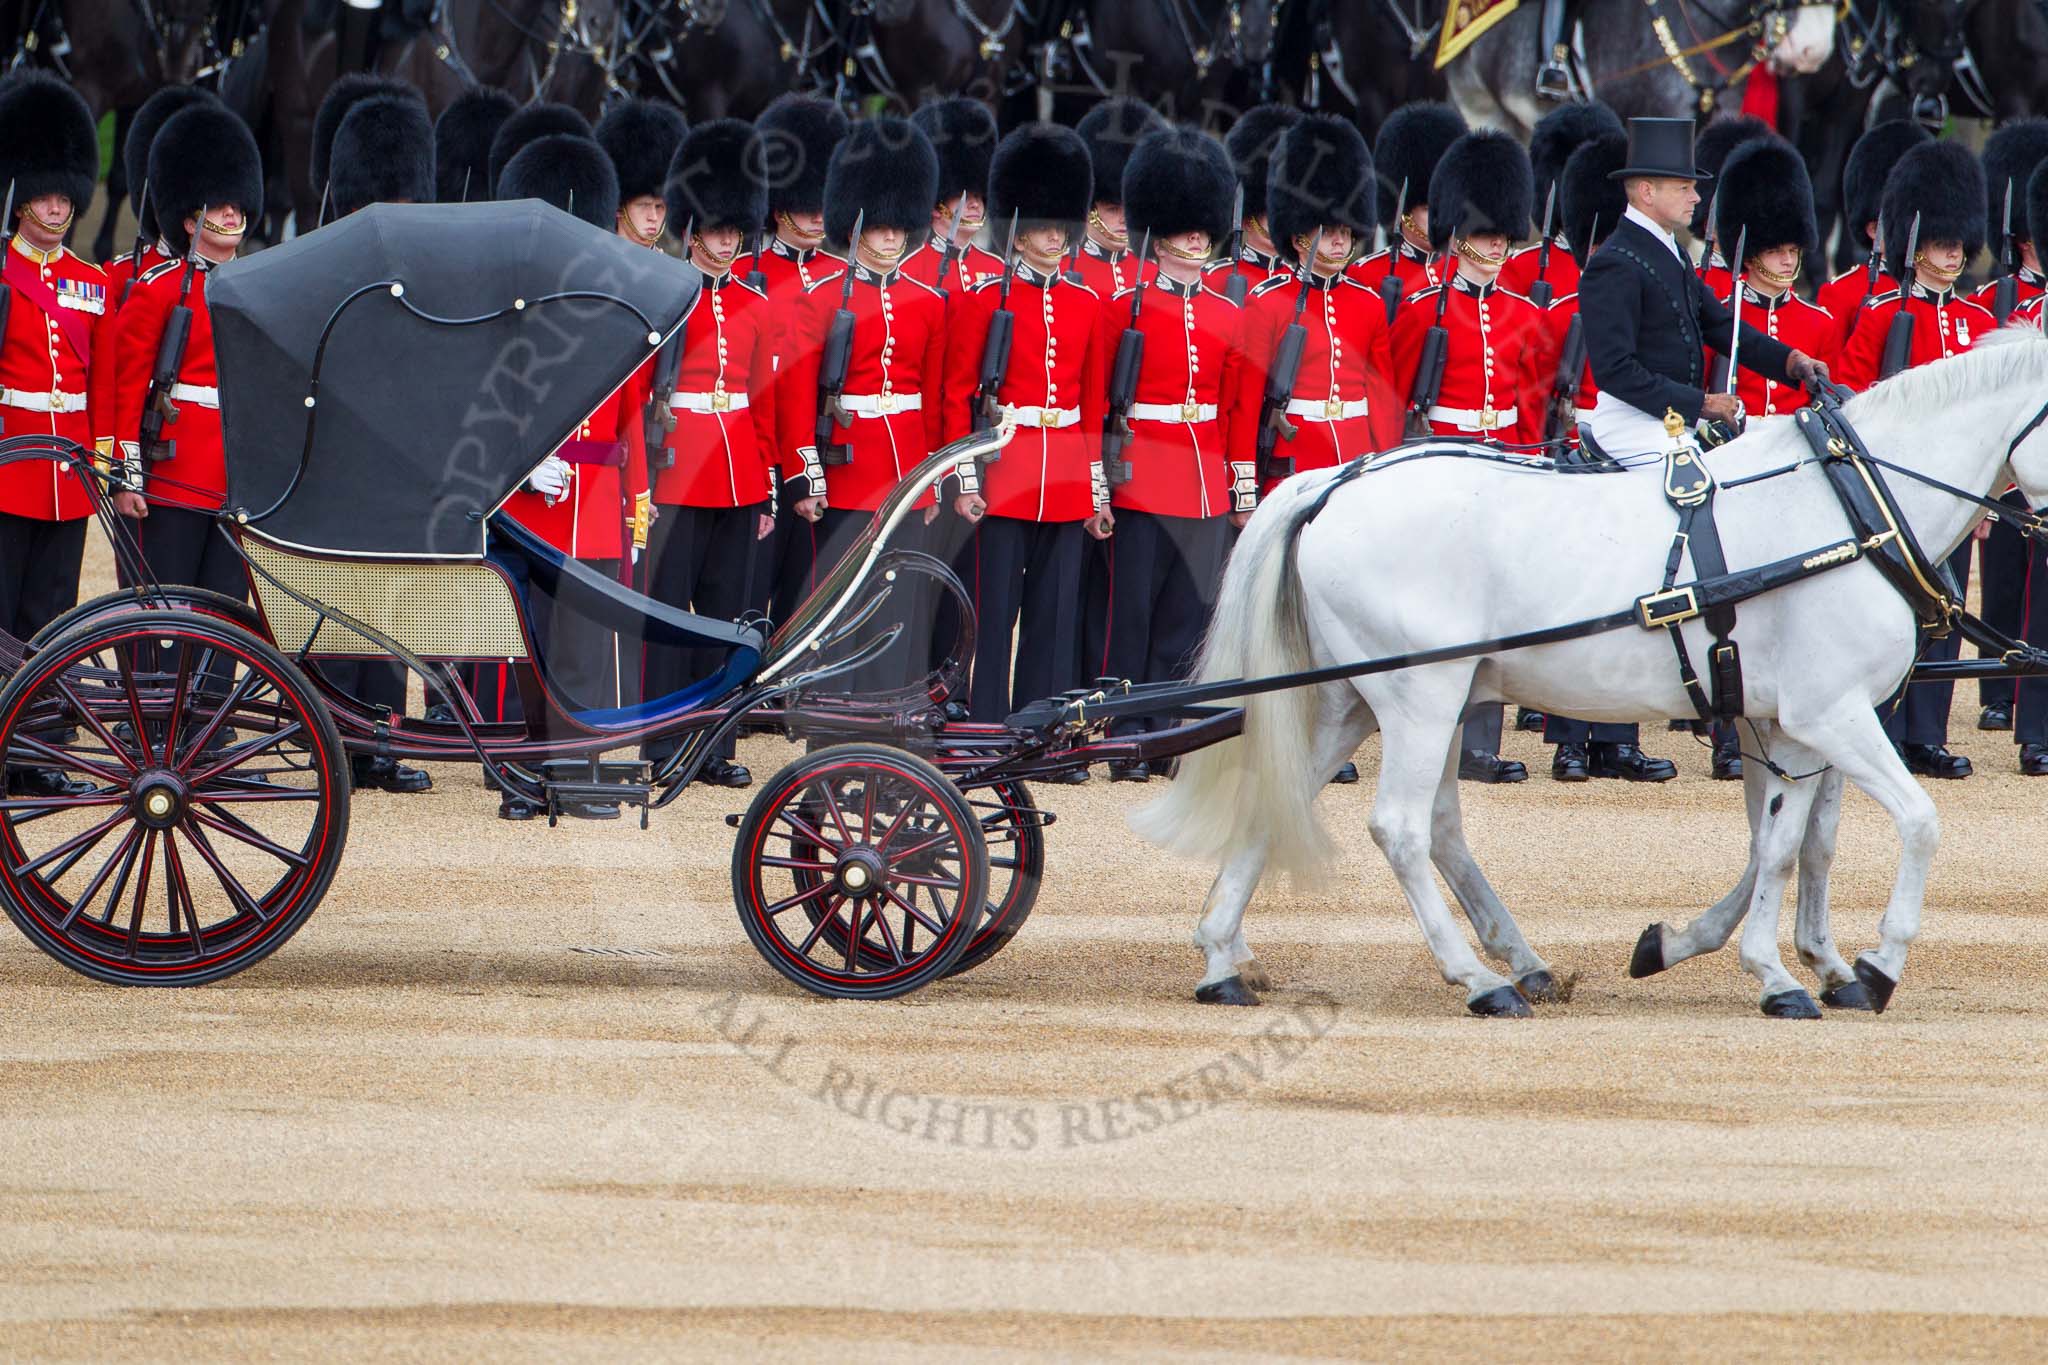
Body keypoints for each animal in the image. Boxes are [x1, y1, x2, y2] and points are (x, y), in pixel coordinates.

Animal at [1130, 327, 2048, 1015]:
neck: (1852, 510)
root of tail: (1335, 481)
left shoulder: (1790, 724)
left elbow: (1793, 845)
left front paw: (1780, 957)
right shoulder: (1827, 715)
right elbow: (1904, 823)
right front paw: (1859, 966)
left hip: (1358, 700)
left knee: (1304, 797)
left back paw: (1225, 957)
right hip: (1420, 698)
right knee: (1400, 828)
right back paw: (1481, 980)